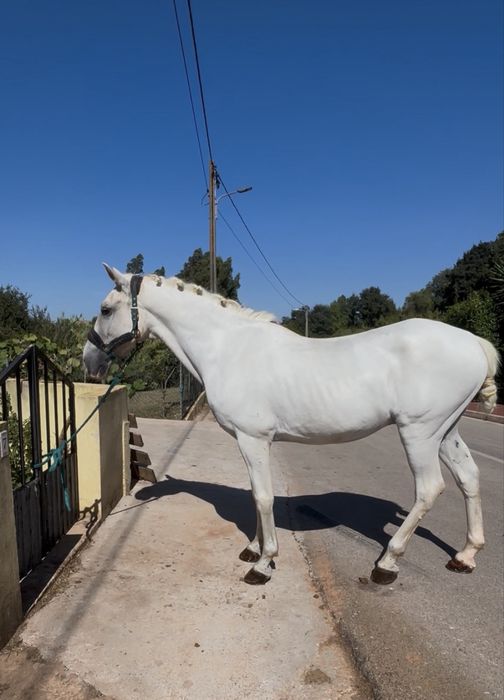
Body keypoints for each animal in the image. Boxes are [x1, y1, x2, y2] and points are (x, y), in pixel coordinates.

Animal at [83, 264, 500, 585]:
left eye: (105, 309)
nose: (89, 361)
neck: (228, 348)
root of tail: (473, 343)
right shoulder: (251, 442)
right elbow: (255, 493)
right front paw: (252, 549)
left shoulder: (252, 439)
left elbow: (263, 497)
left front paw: (264, 563)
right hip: (446, 432)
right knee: (469, 477)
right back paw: (465, 556)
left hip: (419, 432)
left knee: (429, 490)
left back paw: (386, 563)